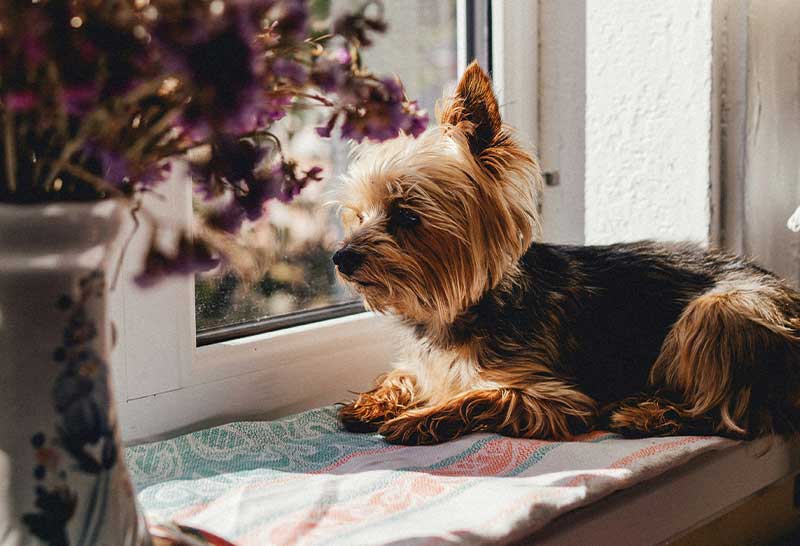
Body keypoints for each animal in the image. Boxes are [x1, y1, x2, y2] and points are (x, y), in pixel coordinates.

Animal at [330, 61, 800, 444]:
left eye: (407, 215)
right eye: (358, 215)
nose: (341, 257)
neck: (461, 310)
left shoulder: (553, 399)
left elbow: (479, 396)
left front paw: (417, 419)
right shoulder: (425, 363)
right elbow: (403, 374)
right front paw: (372, 403)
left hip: (723, 310)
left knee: (730, 413)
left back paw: (642, 414)